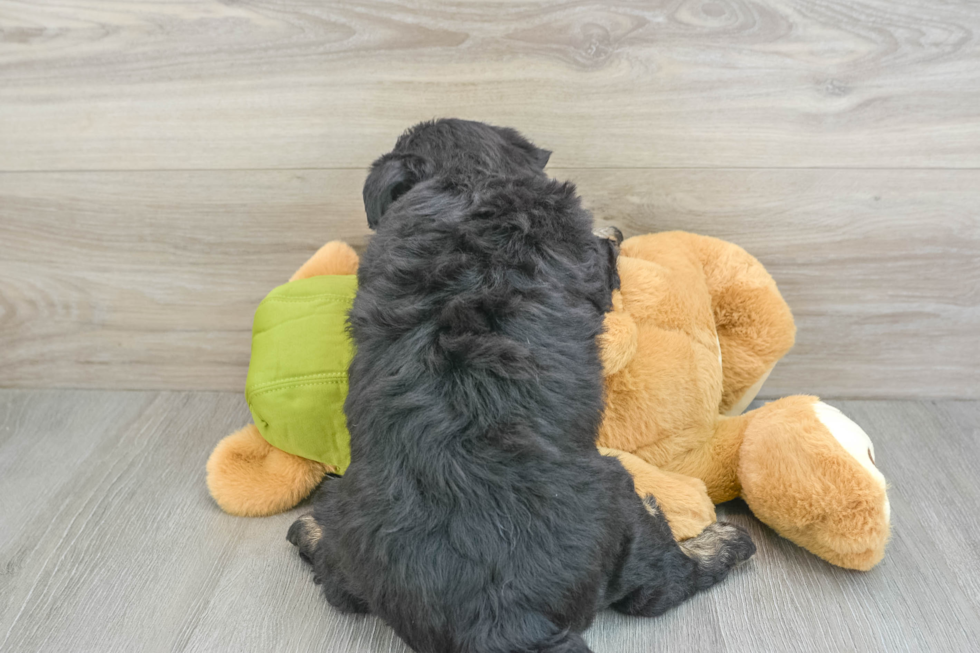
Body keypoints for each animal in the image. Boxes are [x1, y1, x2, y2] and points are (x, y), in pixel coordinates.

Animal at [288, 121, 756, 652]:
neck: (468, 179)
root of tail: (501, 620)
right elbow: (605, 257)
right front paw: (612, 231)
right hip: (619, 505)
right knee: (658, 585)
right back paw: (720, 542)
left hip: (353, 531)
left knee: (337, 580)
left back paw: (308, 528)